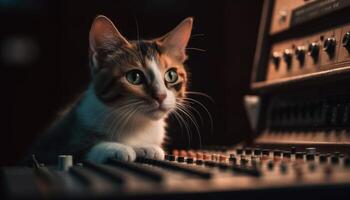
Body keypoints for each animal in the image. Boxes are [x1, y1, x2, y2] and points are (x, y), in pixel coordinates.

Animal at [25, 15, 193, 165]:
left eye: (171, 75)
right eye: (134, 77)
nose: (161, 95)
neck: (136, 123)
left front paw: (146, 147)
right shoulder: (54, 143)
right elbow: (76, 150)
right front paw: (115, 147)